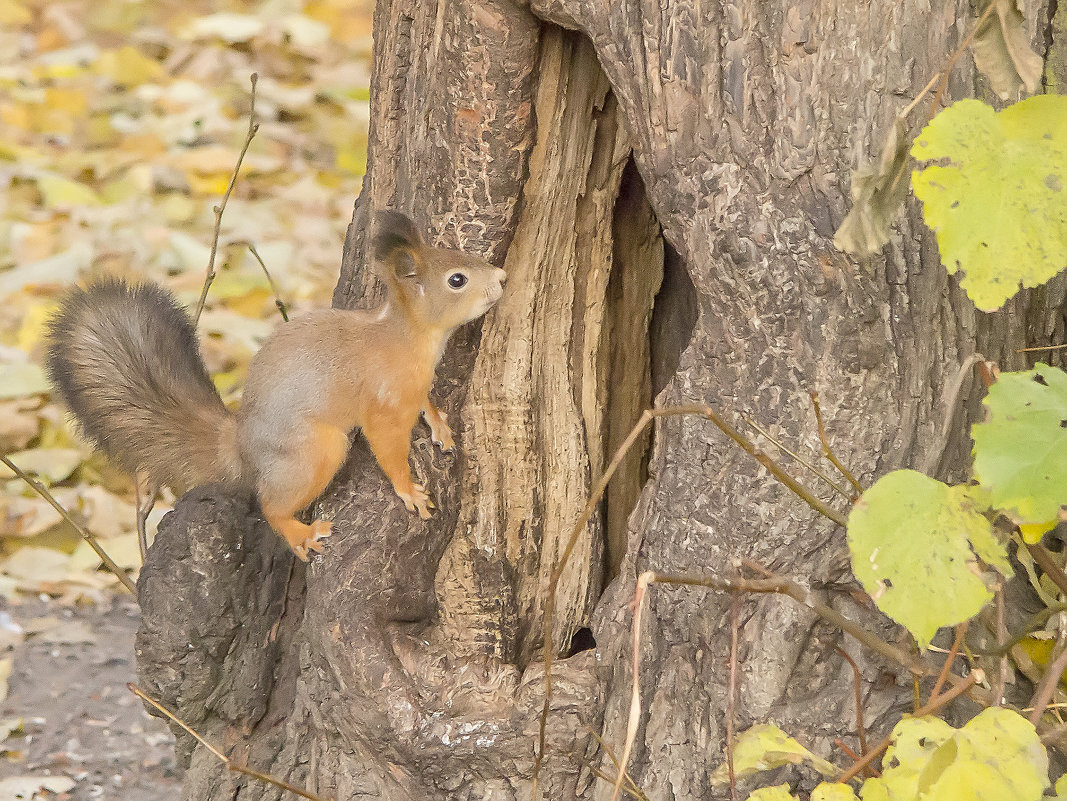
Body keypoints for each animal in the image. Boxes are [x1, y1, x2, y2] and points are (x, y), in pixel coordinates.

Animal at [43, 213, 505, 563]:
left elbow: (427, 401)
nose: (501, 277)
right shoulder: (384, 402)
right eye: (457, 279)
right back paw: (300, 534)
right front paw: (409, 491)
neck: (409, 338)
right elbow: (388, 449)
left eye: (463, 256)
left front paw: (440, 424)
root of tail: (241, 444)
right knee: (271, 505)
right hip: (314, 451)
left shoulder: (415, 385)